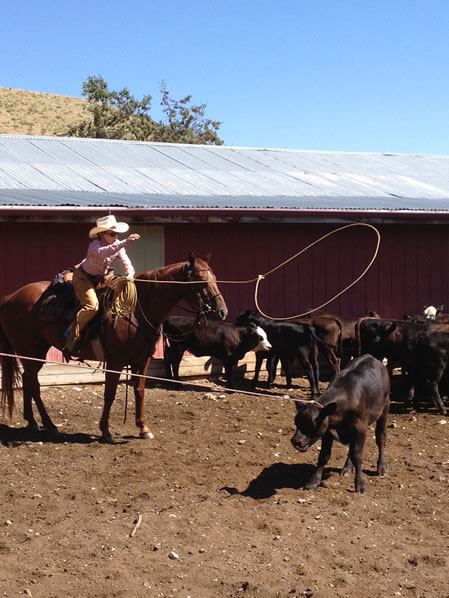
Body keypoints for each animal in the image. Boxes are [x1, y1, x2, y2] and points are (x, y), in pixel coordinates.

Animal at [0, 251, 226, 442]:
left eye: (215, 278)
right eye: (202, 281)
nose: (222, 311)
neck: (136, 310)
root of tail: (10, 297)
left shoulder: (142, 360)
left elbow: (139, 390)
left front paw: (143, 429)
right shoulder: (115, 362)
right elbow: (109, 394)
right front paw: (105, 431)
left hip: (35, 352)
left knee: (28, 381)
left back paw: (32, 422)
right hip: (29, 350)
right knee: (34, 384)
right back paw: (50, 425)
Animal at [290, 354, 388, 494]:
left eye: (313, 425)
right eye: (296, 422)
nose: (295, 441)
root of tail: (371, 357)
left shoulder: (360, 428)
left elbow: (357, 456)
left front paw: (360, 484)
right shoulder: (327, 430)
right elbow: (324, 456)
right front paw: (313, 482)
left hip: (385, 408)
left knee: (380, 438)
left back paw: (381, 467)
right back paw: (347, 469)